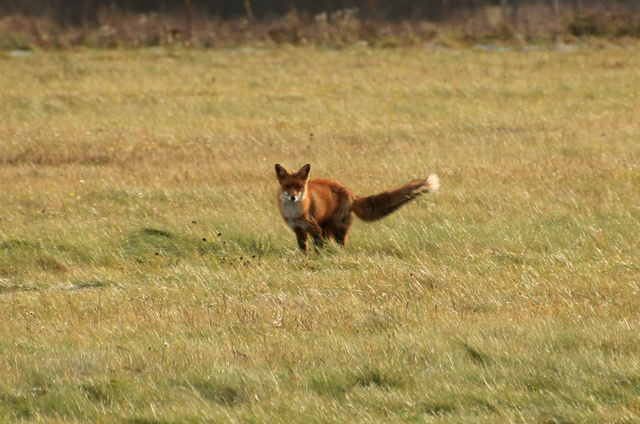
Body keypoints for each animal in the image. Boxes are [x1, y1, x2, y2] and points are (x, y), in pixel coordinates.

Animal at [272, 164, 438, 252]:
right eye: (287, 187)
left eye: (299, 188)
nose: (293, 197)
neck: (295, 213)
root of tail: (350, 193)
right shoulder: (298, 229)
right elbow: (303, 248)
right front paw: (304, 259)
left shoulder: (313, 227)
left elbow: (318, 247)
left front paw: (318, 258)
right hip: (327, 227)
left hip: (337, 227)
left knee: (341, 243)